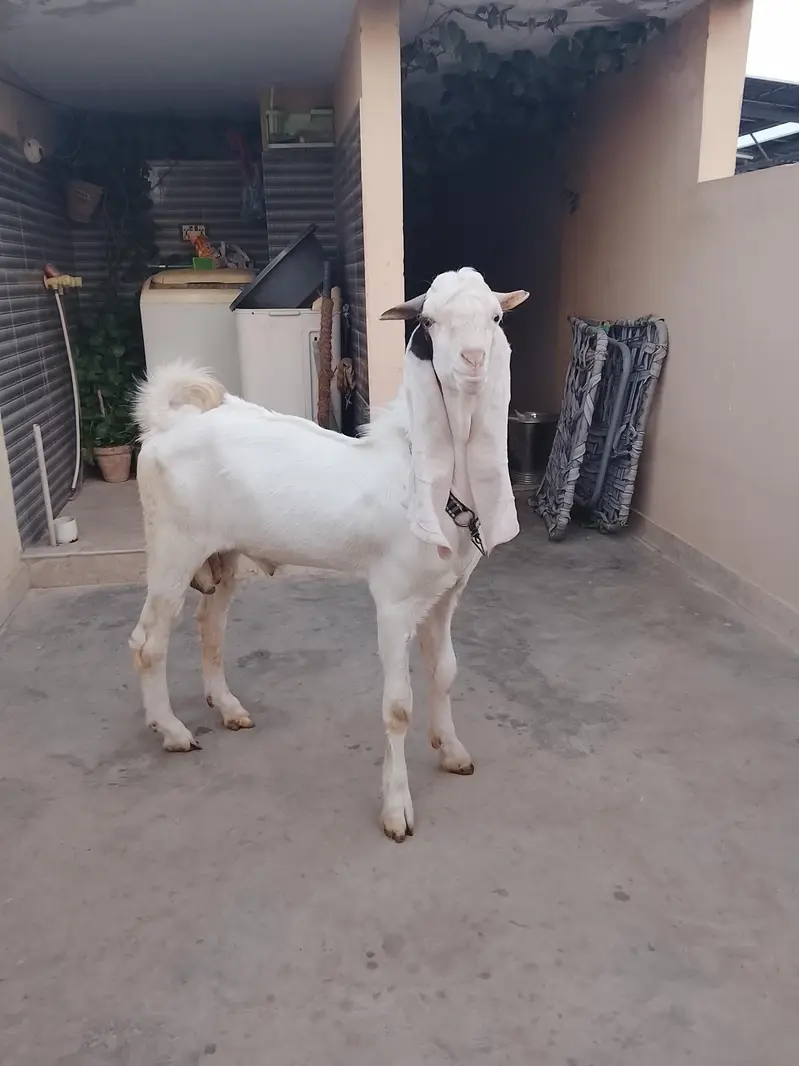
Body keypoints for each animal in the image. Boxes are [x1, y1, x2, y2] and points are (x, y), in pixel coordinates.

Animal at [129, 268, 529, 841]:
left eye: (496, 318)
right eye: (429, 322)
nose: (474, 360)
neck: (420, 476)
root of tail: (167, 424)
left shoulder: (445, 594)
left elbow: (447, 671)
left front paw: (452, 750)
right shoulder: (394, 601)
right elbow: (397, 707)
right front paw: (396, 808)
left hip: (224, 552)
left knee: (211, 626)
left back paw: (227, 707)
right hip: (172, 547)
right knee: (148, 643)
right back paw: (172, 730)